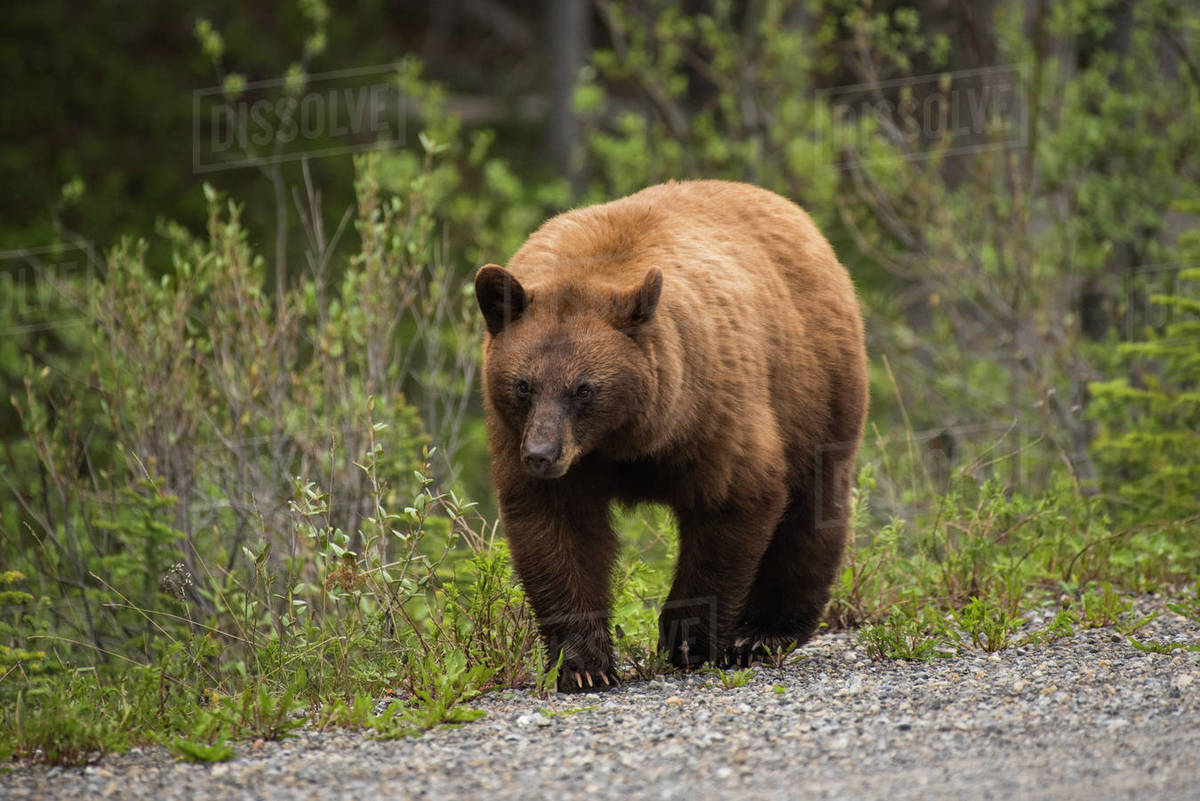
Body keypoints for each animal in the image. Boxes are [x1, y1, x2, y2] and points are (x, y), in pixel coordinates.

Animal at [474, 180, 867, 692]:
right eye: (523, 385)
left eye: (584, 388)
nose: (541, 455)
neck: (623, 440)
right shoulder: (530, 442)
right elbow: (556, 528)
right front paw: (583, 665)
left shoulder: (709, 410)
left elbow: (733, 502)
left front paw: (688, 642)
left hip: (816, 386)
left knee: (812, 504)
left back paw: (763, 634)